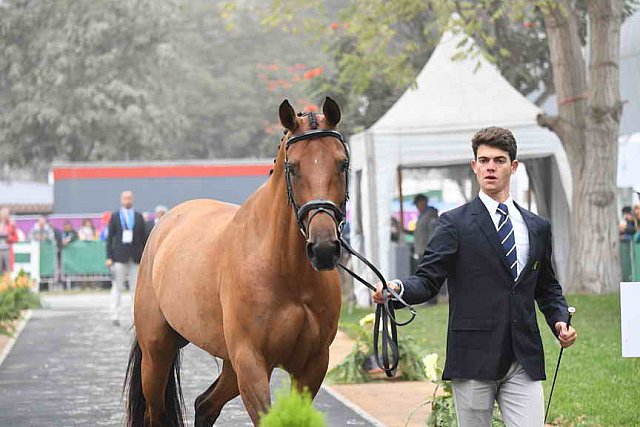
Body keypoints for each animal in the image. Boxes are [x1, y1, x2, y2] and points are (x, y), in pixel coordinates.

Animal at [125, 98, 350, 426]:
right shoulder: (252, 362)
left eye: (342, 163)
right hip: (157, 353)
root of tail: (164, 225)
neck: (285, 270)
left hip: (228, 364)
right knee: (157, 412)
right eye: (293, 168)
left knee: (205, 404)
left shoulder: (313, 364)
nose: (323, 248)